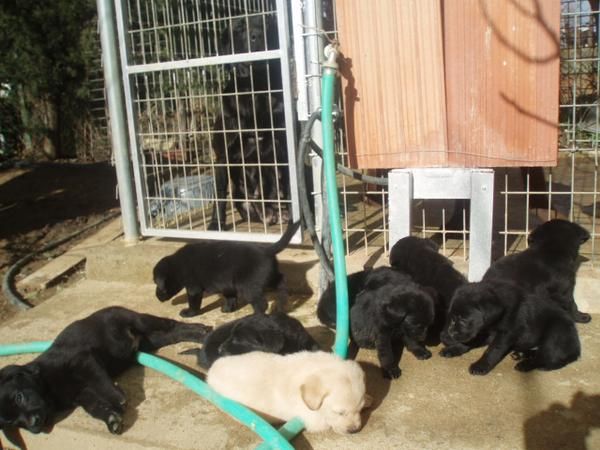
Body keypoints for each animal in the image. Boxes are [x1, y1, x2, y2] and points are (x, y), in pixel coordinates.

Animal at [0, 308, 211, 434]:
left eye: (19, 397)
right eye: (12, 422)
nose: (34, 427)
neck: (46, 382)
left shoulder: (82, 360)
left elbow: (100, 380)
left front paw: (117, 397)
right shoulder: (83, 395)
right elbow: (96, 408)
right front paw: (111, 419)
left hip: (141, 321)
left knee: (173, 324)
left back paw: (202, 330)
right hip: (151, 340)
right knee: (174, 334)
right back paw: (199, 334)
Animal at [151, 221, 298, 316]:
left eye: (158, 284)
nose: (157, 297)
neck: (176, 265)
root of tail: (267, 250)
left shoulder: (193, 288)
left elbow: (194, 302)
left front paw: (189, 313)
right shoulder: (227, 284)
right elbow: (230, 297)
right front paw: (227, 309)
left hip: (249, 286)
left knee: (261, 304)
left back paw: (254, 316)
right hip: (269, 275)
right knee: (281, 281)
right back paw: (283, 302)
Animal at [442, 284, 580, 374]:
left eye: (464, 319)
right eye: (452, 318)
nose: (451, 333)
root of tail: (576, 348)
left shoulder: (505, 334)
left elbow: (492, 351)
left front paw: (480, 366)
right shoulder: (483, 332)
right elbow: (469, 342)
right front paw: (454, 349)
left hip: (555, 332)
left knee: (548, 356)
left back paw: (527, 365)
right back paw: (522, 354)